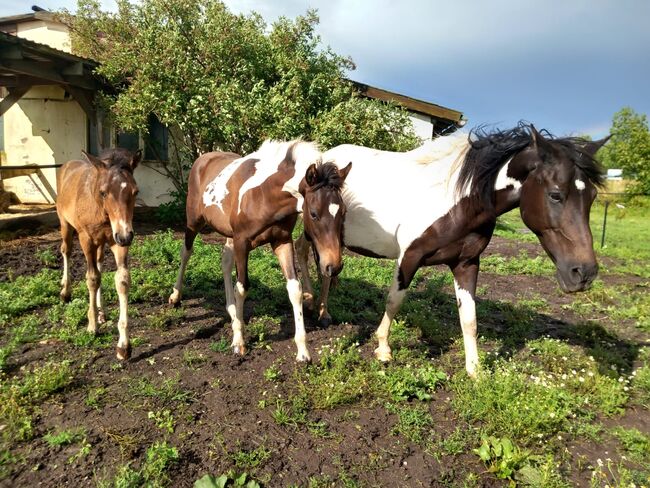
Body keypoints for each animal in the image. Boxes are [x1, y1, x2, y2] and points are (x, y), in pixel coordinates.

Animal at [56, 147, 141, 360]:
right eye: (103, 192)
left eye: (135, 191)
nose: (126, 236)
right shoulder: (86, 238)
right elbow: (92, 278)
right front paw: (92, 325)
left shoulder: (117, 240)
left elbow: (121, 280)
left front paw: (123, 345)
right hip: (65, 224)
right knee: (66, 250)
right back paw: (65, 291)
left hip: (103, 241)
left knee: (100, 262)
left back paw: (102, 311)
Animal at [167, 139, 350, 360]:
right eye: (314, 214)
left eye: (343, 212)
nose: (334, 266)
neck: (265, 195)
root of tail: (203, 158)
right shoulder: (241, 242)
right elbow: (242, 287)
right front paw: (238, 341)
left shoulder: (282, 241)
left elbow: (294, 289)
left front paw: (303, 351)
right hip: (194, 222)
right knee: (186, 252)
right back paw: (176, 296)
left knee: (225, 261)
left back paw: (232, 312)